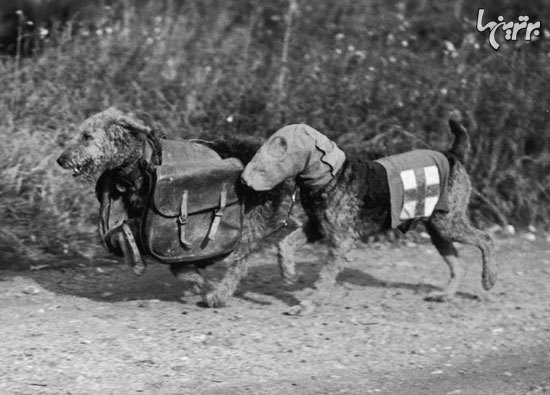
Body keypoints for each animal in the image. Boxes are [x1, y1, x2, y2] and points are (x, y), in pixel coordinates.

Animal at [58, 109, 296, 310]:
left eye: (86, 136)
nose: (60, 159)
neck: (141, 162)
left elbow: (181, 266)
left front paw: (203, 283)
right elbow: (126, 238)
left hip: (250, 220)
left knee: (240, 262)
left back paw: (219, 296)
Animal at [244, 120, 498, 316]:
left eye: (282, 146)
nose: (245, 180)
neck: (329, 178)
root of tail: (453, 154)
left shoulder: (340, 240)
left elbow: (324, 278)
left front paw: (306, 305)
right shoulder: (316, 227)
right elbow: (284, 244)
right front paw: (288, 275)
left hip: (447, 223)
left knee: (486, 239)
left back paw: (489, 279)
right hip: (437, 228)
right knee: (457, 263)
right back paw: (444, 295)